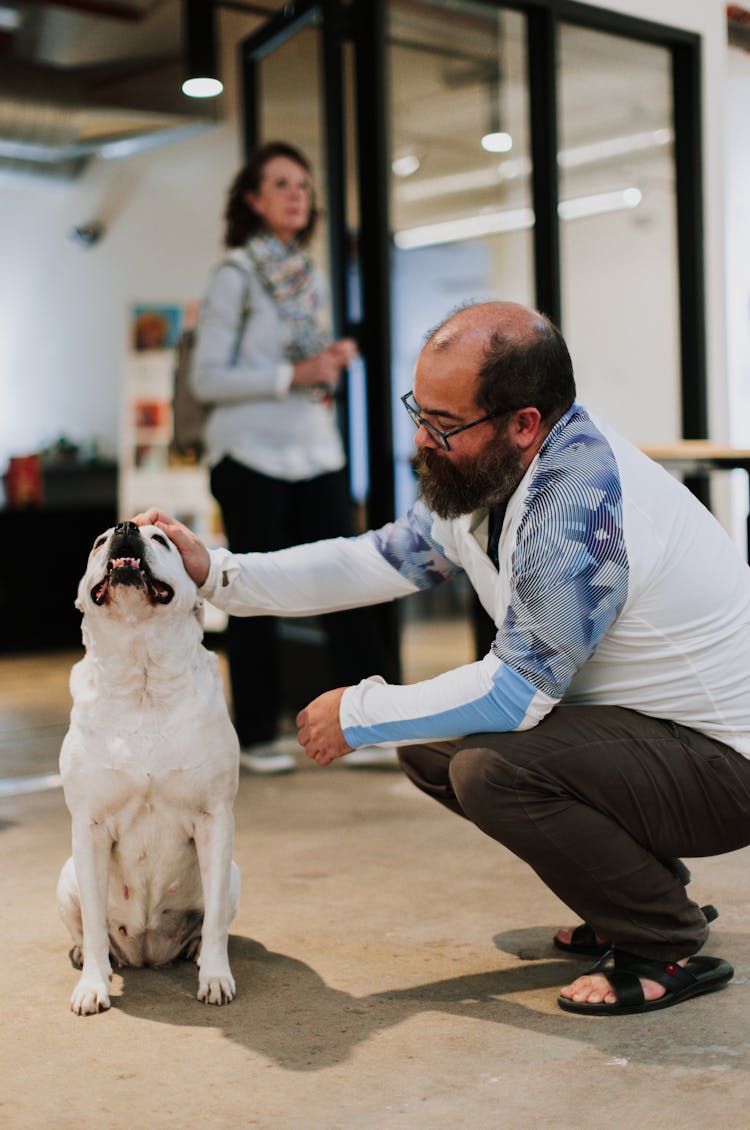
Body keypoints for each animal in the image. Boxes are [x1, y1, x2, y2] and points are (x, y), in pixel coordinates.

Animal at [58, 519, 240, 1017]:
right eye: (98, 543)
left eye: (161, 539)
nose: (125, 527)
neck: (142, 683)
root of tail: (146, 951)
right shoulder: (90, 827)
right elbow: (95, 923)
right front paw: (92, 985)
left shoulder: (214, 818)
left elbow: (215, 920)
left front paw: (215, 977)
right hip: (66, 877)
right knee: (86, 927)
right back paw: (90, 957)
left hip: (234, 874)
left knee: (212, 917)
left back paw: (195, 951)